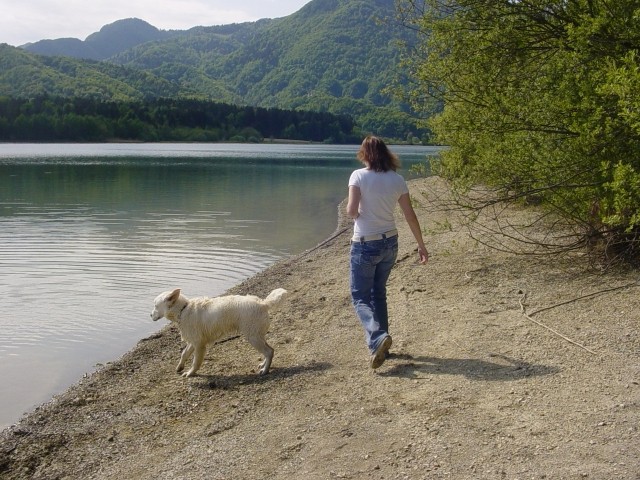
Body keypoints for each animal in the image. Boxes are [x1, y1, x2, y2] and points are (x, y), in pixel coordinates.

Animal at [150, 286, 288, 376]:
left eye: (156, 306)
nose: (150, 315)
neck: (183, 309)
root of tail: (263, 303)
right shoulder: (194, 341)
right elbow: (184, 353)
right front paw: (180, 367)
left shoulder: (199, 345)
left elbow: (195, 362)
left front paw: (190, 373)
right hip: (257, 335)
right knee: (270, 350)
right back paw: (264, 365)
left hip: (253, 337)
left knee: (268, 351)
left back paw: (265, 370)